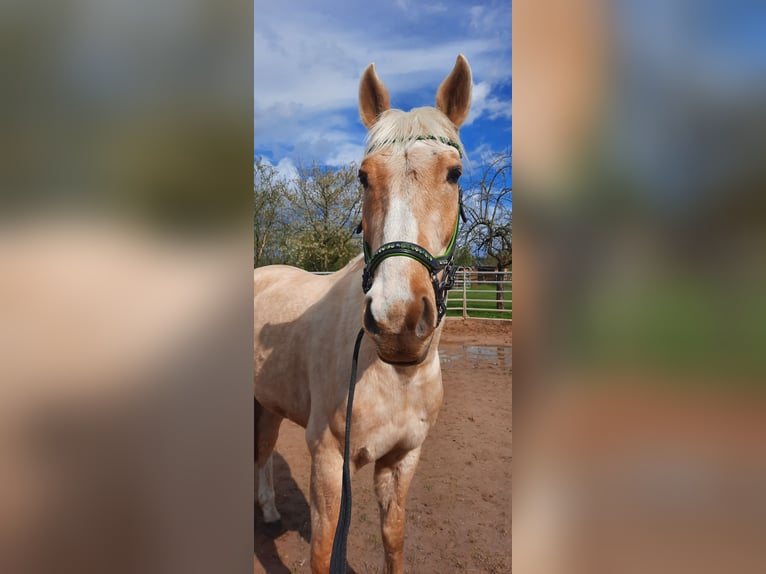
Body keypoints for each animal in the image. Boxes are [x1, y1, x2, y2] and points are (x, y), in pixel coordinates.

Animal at [254, 54, 472, 574]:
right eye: (363, 175)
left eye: (454, 174)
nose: (398, 319)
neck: (393, 376)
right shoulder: (329, 460)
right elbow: (322, 550)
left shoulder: (402, 459)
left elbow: (394, 538)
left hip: (267, 402)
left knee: (264, 452)